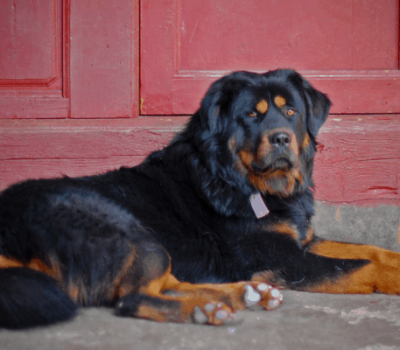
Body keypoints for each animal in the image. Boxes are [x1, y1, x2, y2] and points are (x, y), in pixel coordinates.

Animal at [0, 69, 400, 330]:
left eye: (291, 111)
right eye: (251, 115)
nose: (281, 138)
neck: (244, 183)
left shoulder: (301, 241)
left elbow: (373, 251)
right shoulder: (281, 258)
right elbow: (364, 266)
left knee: (165, 282)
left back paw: (237, 296)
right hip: (130, 231)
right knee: (134, 298)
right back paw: (206, 308)